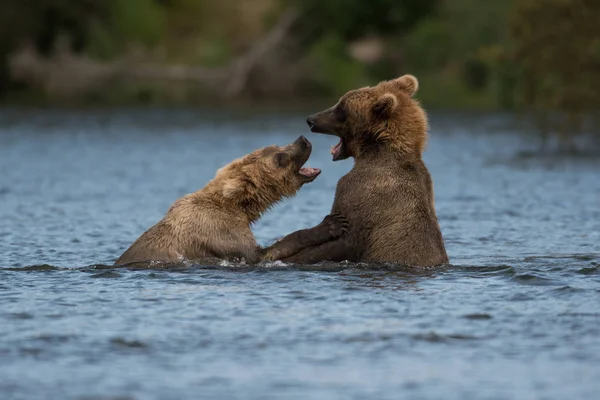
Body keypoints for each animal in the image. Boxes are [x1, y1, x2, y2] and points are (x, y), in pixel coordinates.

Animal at [115, 135, 346, 266]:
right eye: (279, 157)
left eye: (275, 145)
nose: (303, 140)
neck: (239, 205)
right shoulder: (220, 231)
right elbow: (261, 254)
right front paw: (332, 223)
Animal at [280, 76, 446, 268]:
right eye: (339, 103)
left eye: (341, 108)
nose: (311, 120)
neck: (375, 152)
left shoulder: (364, 195)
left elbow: (343, 239)